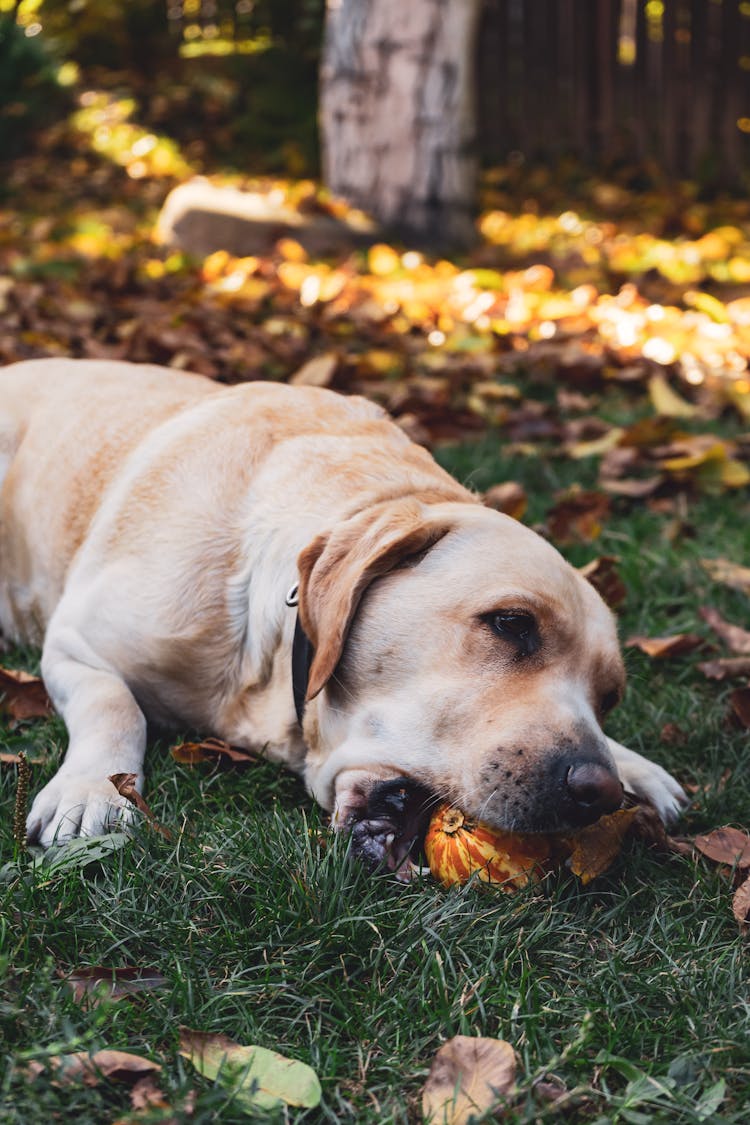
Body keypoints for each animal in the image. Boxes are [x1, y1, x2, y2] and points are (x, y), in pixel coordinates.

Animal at [0, 360, 688, 868]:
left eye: (608, 698)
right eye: (512, 623)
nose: (597, 792)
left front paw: (634, 764)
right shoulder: (75, 642)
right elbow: (114, 703)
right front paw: (92, 787)